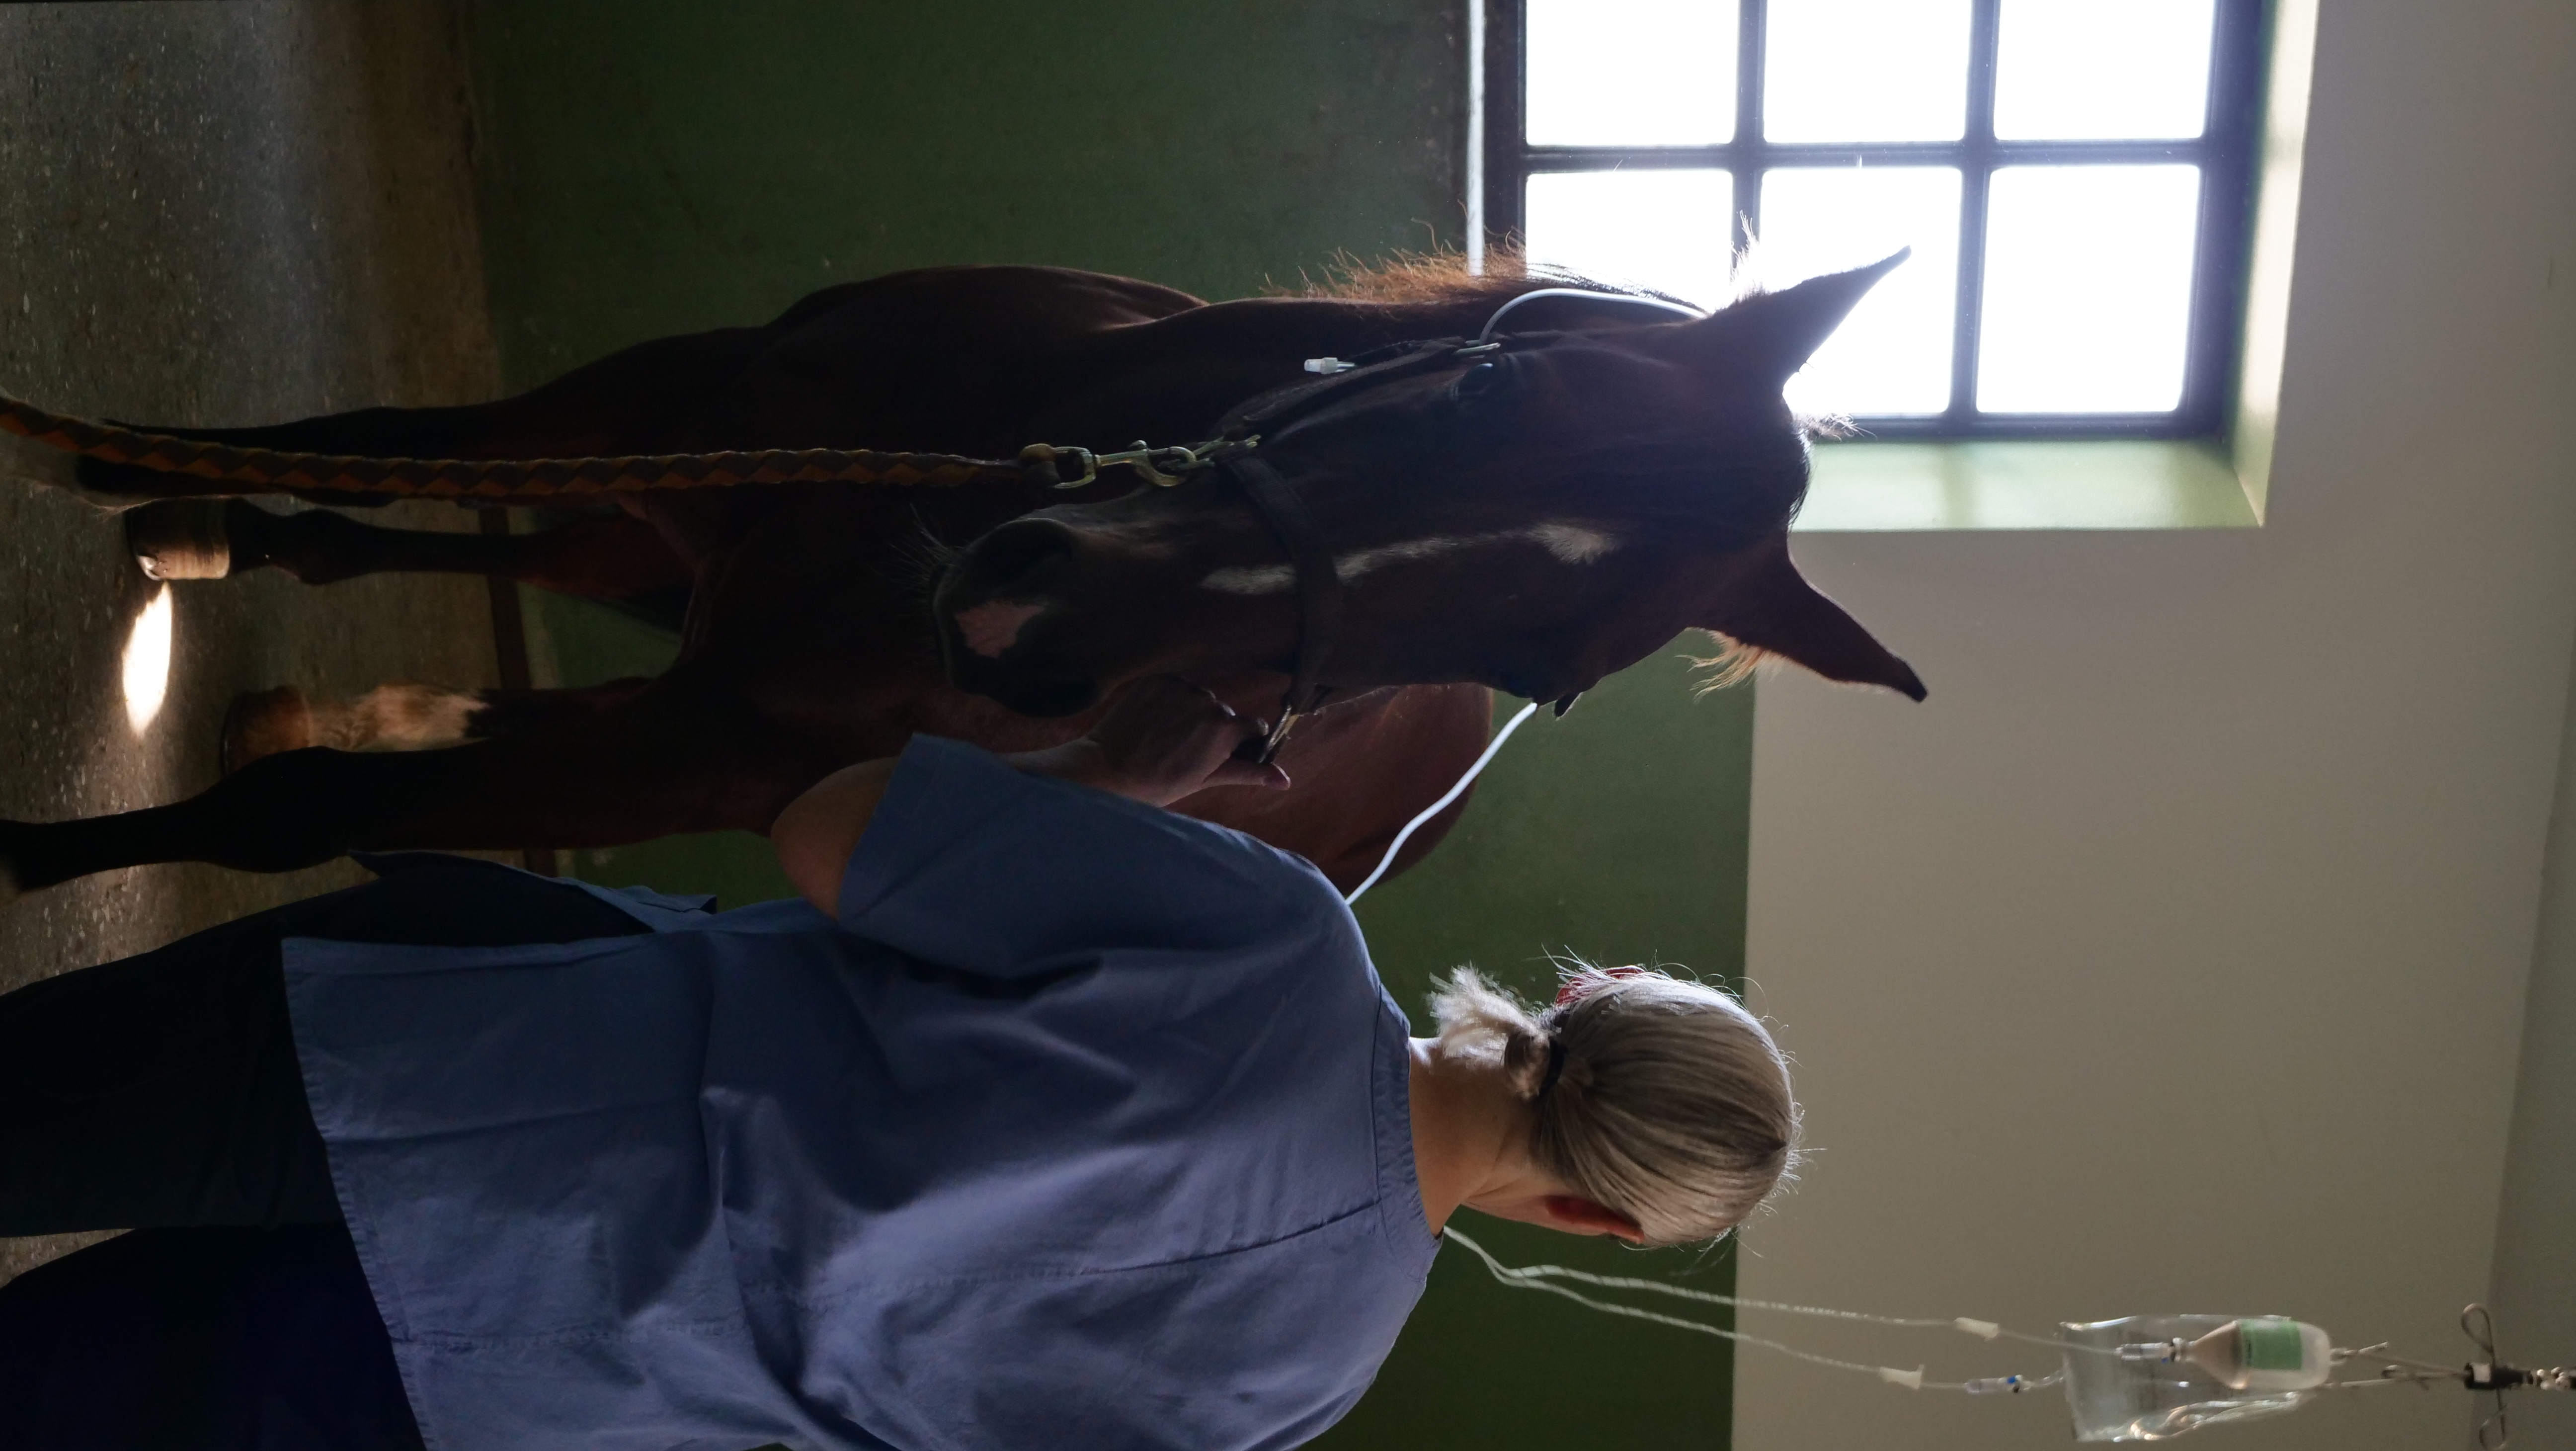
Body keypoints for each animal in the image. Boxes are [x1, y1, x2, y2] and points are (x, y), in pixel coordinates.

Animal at [0, 257, 1923, 904]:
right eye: (1487, 388)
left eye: (1543, 671)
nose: (1032, 624)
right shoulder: (681, 410)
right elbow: (382, 438)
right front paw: (122, 470)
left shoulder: (705, 753)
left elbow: (292, 816)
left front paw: (32, 855)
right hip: (661, 528)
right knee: (476, 532)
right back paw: (205, 541)